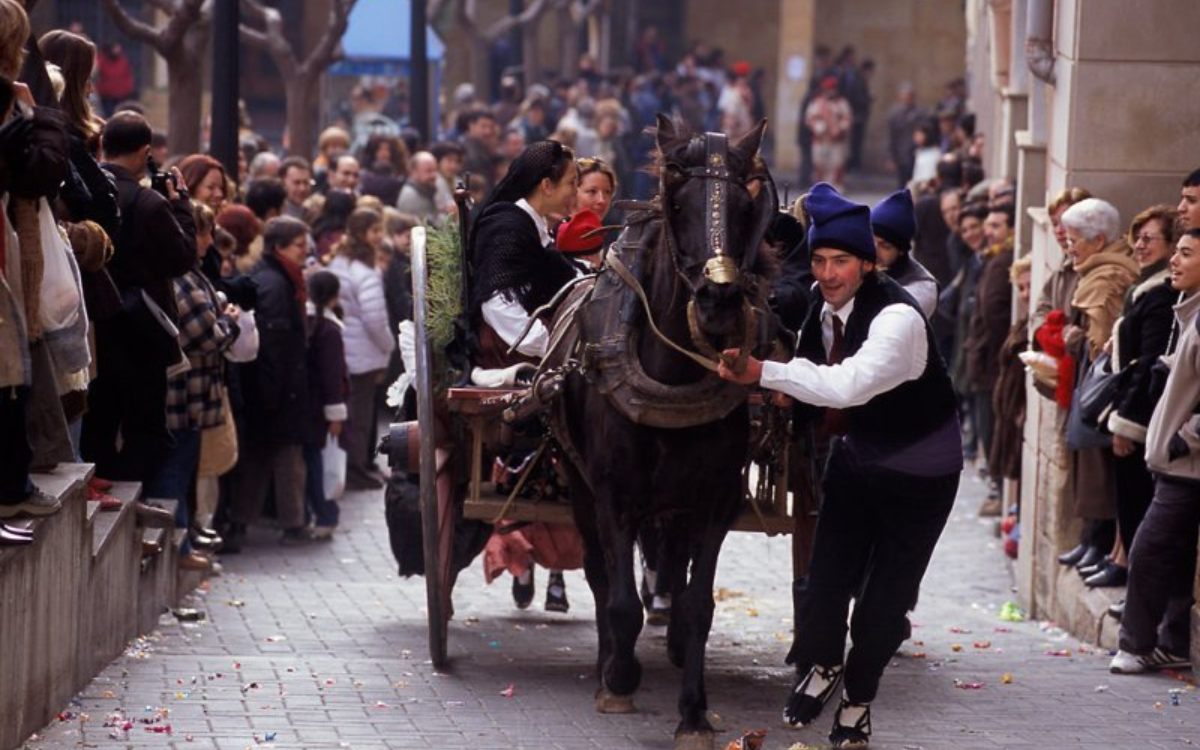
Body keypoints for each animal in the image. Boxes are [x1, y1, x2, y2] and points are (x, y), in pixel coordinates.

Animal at [544, 117, 777, 748]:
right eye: (677, 203)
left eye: (746, 208)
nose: (720, 302)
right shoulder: (612, 494)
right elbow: (619, 597)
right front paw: (619, 679)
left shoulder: (716, 498)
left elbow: (699, 604)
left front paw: (694, 712)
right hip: (579, 487)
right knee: (600, 575)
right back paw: (609, 662)